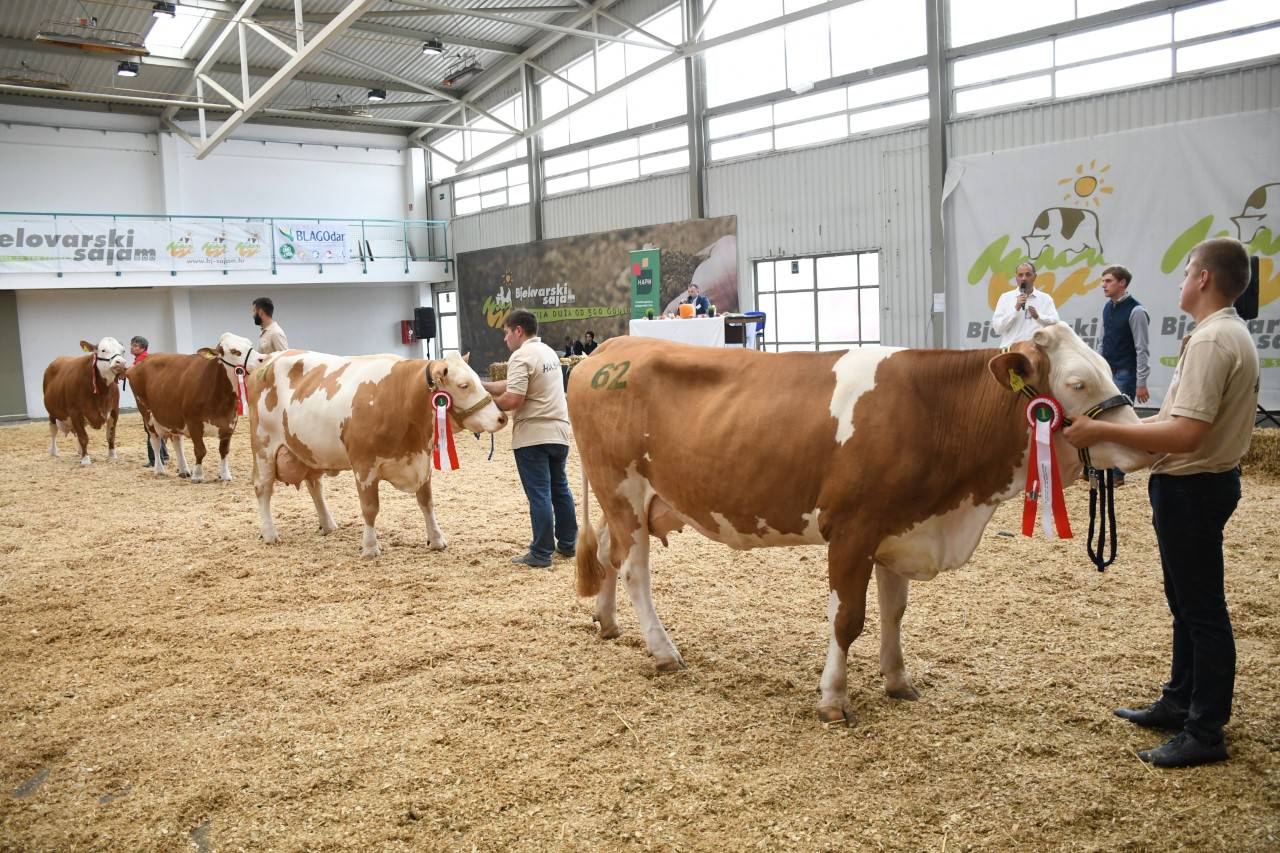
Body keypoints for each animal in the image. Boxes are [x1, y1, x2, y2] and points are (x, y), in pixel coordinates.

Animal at [44, 333, 128, 466]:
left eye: (123, 350)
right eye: (103, 350)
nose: (121, 363)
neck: (102, 393)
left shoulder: (114, 410)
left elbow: (111, 435)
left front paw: (112, 455)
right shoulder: (75, 412)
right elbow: (84, 437)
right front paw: (85, 459)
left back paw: (79, 451)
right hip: (52, 412)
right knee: (53, 430)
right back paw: (54, 452)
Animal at [126, 330, 263, 481]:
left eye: (250, 345)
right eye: (234, 351)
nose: (262, 359)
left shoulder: (229, 423)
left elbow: (224, 451)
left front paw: (225, 474)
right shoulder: (193, 423)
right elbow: (200, 450)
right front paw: (197, 475)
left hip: (174, 417)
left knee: (177, 441)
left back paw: (183, 470)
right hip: (146, 413)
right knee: (155, 441)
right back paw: (159, 470)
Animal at [247, 348, 506, 555]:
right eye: (464, 385)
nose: (501, 417)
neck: (401, 397)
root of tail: (268, 358)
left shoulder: (422, 461)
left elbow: (427, 503)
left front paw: (436, 539)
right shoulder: (364, 466)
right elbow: (370, 508)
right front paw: (370, 547)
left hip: (308, 450)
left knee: (315, 485)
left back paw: (328, 524)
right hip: (263, 446)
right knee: (263, 488)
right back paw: (270, 533)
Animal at [570, 322, 1152, 722]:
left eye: (1105, 367)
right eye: (1077, 382)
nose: (1144, 442)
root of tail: (611, 348)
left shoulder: (899, 528)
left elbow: (894, 612)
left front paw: (897, 680)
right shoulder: (851, 529)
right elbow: (847, 619)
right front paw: (833, 698)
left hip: (623, 502)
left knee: (607, 555)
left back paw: (607, 622)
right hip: (623, 490)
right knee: (635, 571)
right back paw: (664, 651)